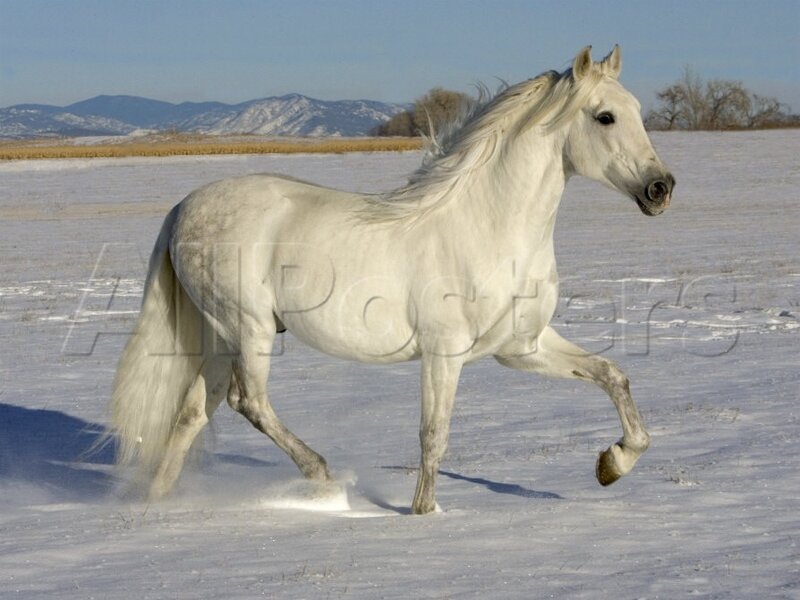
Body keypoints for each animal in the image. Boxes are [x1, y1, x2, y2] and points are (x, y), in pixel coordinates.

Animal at [109, 46, 674, 514]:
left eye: (637, 110)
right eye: (605, 116)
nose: (660, 188)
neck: (489, 226)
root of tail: (184, 206)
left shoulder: (522, 347)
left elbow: (613, 375)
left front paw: (613, 463)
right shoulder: (443, 354)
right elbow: (433, 434)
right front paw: (425, 514)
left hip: (219, 337)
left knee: (191, 414)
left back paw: (158, 505)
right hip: (249, 328)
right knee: (248, 402)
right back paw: (322, 476)